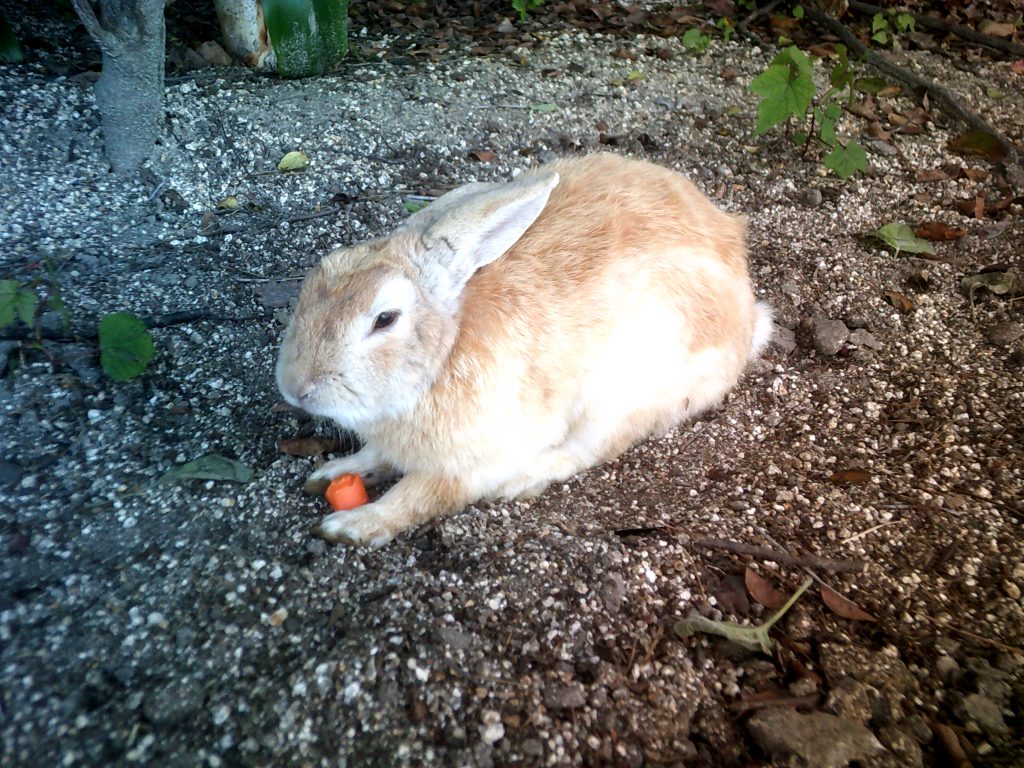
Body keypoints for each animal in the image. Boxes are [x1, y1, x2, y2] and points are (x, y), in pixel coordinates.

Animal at [276, 153, 773, 547]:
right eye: (317, 276)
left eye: (385, 319)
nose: (295, 388)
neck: (443, 353)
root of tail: (746, 318)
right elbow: (374, 458)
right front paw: (331, 475)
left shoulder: (474, 463)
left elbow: (420, 495)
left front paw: (354, 526)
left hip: (622, 392)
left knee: (588, 449)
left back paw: (525, 479)